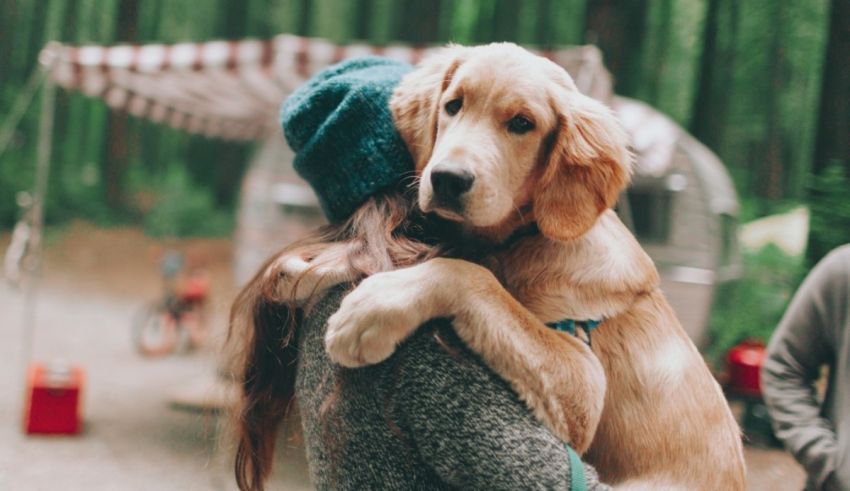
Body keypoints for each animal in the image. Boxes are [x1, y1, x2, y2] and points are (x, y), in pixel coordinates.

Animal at [274, 44, 744, 490]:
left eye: (522, 123)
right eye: (453, 105)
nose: (447, 178)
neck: (520, 242)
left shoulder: (583, 378)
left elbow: (468, 274)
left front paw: (370, 310)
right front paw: (301, 271)